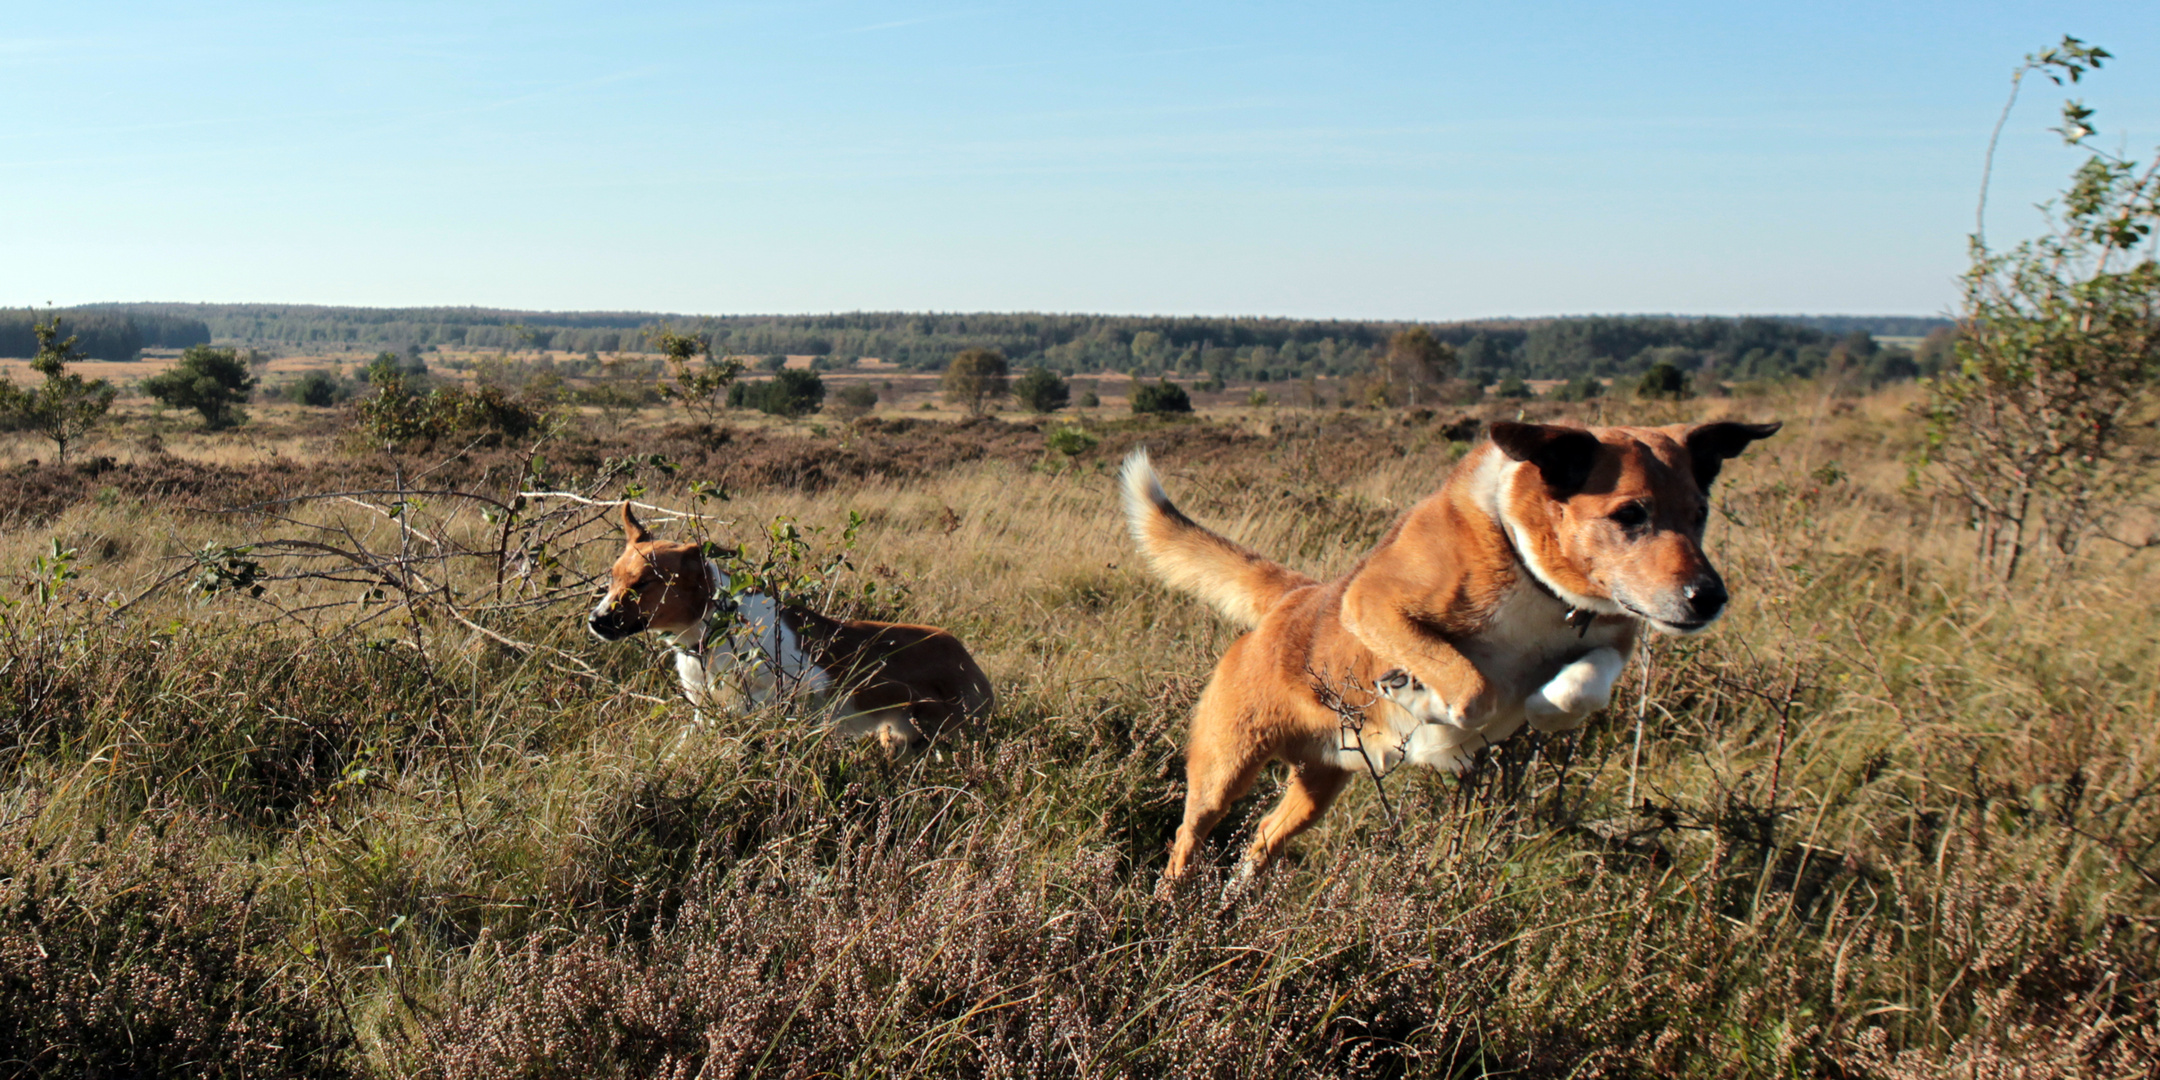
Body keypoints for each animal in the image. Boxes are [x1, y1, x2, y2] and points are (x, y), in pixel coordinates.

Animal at [587, 503, 997, 751]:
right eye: (612, 578)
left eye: (642, 584)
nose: (595, 620)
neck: (716, 629)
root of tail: (963, 654)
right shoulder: (704, 709)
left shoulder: (802, 688)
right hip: (902, 739)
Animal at [1123, 416, 1779, 881]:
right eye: (1630, 514)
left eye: (1700, 513)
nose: (1709, 599)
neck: (1531, 571)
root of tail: (1294, 598)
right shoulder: (1373, 603)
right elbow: (1473, 686)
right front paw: (1427, 702)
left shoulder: (1612, 634)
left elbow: (1579, 688)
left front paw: (1541, 703)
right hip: (1224, 769)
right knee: (1188, 839)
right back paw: (1173, 909)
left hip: (1319, 786)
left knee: (1260, 839)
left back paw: (1236, 898)